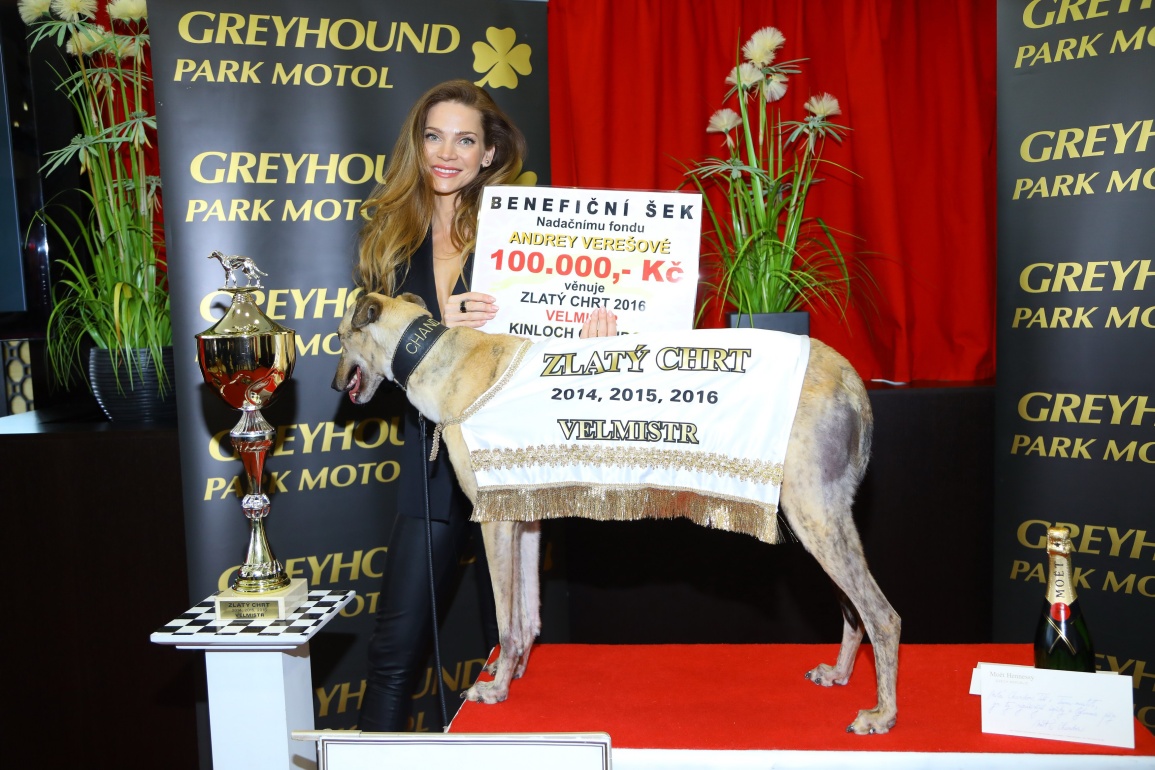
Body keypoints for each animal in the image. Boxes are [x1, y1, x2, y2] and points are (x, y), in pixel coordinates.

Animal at [333, 292, 900, 735]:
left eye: (339, 338)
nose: (337, 387)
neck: (442, 358)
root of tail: (849, 375)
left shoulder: (493, 519)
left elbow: (506, 618)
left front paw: (495, 691)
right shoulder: (524, 513)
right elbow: (528, 613)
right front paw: (513, 673)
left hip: (814, 515)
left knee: (882, 615)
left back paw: (882, 714)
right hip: (820, 517)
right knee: (854, 611)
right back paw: (840, 675)